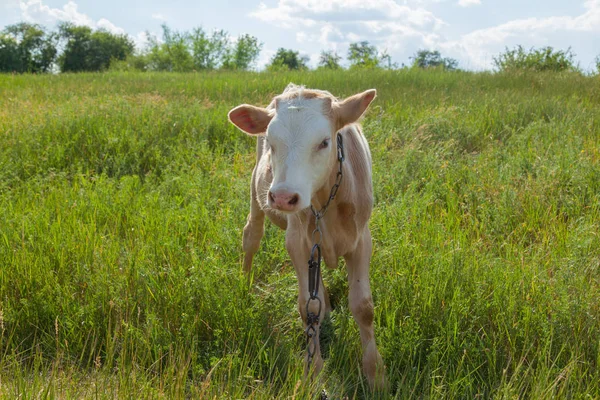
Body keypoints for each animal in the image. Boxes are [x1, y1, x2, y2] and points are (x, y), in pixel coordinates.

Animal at [227, 83, 386, 388]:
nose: (283, 197)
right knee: (251, 236)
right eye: (272, 142)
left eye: (324, 142)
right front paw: (314, 374)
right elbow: (307, 307)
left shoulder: (362, 240)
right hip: (257, 193)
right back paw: (245, 283)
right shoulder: (297, 242)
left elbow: (363, 306)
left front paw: (375, 374)